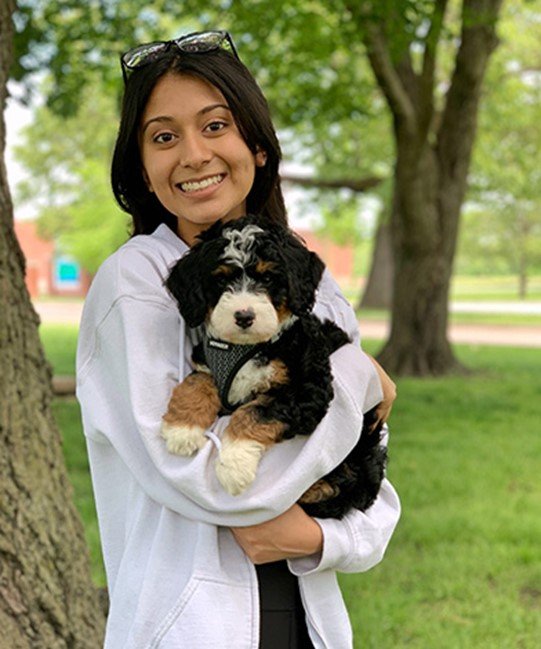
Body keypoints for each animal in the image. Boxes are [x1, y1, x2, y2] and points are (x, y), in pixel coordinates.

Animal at [160, 215, 384, 520]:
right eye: (221, 279)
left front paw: (234, 463)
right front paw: (182, 429)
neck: (247, 346)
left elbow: (254, 412)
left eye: (267, 278)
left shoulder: (307, 391)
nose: (244, 316)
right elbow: (196, 383)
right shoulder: (207, 364)